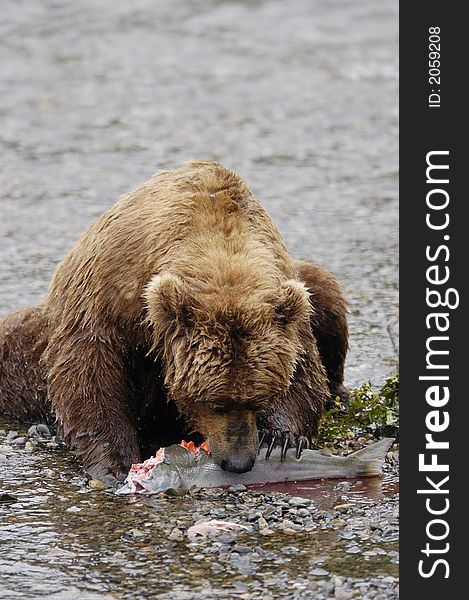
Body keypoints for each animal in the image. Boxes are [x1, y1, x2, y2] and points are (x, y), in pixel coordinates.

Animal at [0, 162, 348, 486]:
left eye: (258, 398)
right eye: (214, 403)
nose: (238, 462)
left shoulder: (286, 302)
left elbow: (304, 371)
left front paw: (279, 437)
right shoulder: (108, 300)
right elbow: (89, 376)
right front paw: (115, 463)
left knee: (326, 291)